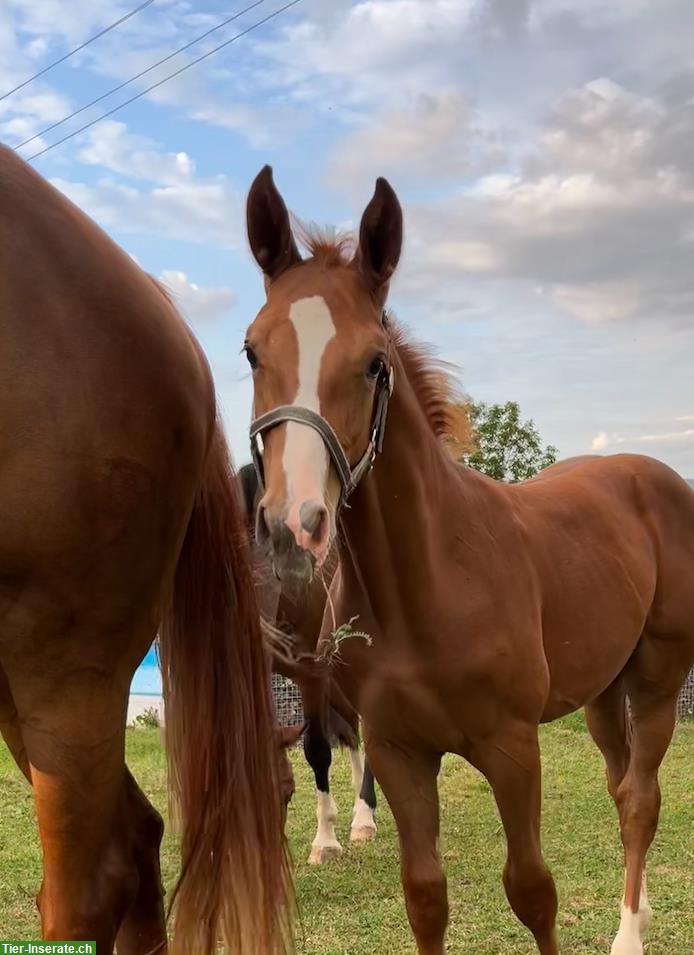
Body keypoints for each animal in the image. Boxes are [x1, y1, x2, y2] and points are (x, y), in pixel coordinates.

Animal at [239, 464, 380, 868]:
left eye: (286, 792)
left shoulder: (313, 672)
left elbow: (317, 750)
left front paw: (325, 842)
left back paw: (365, 815)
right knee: (350, 729)